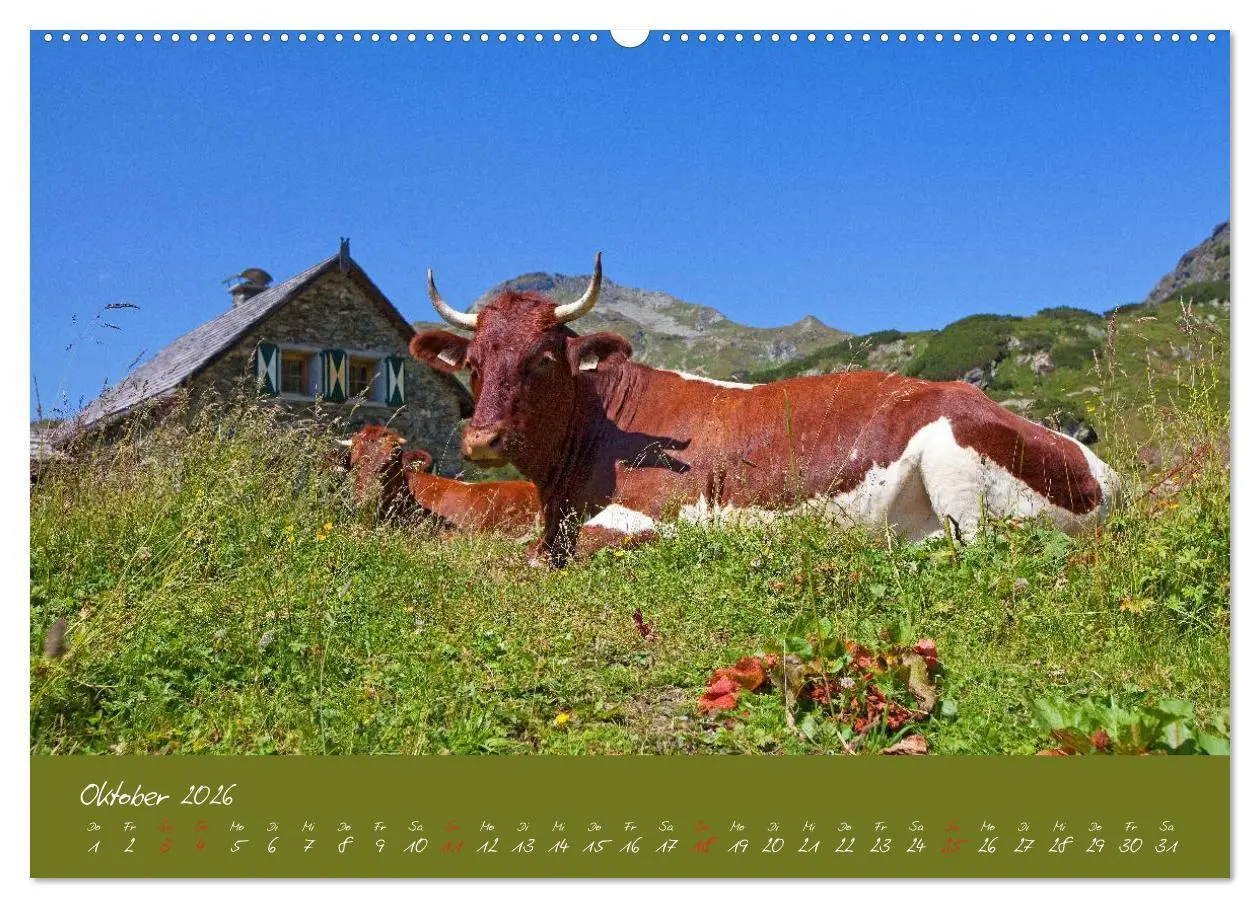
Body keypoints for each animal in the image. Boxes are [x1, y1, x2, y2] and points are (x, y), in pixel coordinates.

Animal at [410, 253, 1122, 567]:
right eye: (475, 361)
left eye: (543, 359)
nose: (482, 440)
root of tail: (1104, 471)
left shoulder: (664, 514)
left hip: (956, 463)